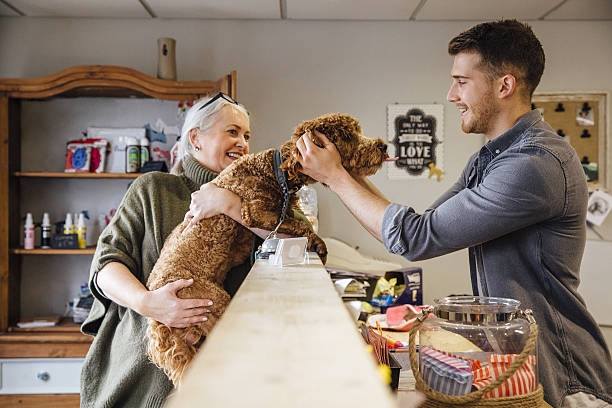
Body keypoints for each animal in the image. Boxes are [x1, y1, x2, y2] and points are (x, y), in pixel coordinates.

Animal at [146, 112, 390, 386]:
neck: (275, 170)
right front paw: (320, 245)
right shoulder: (255, 211)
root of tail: (158, 324)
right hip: (211, 302)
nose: (383, 146)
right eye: (348, 135)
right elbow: (299, 225)